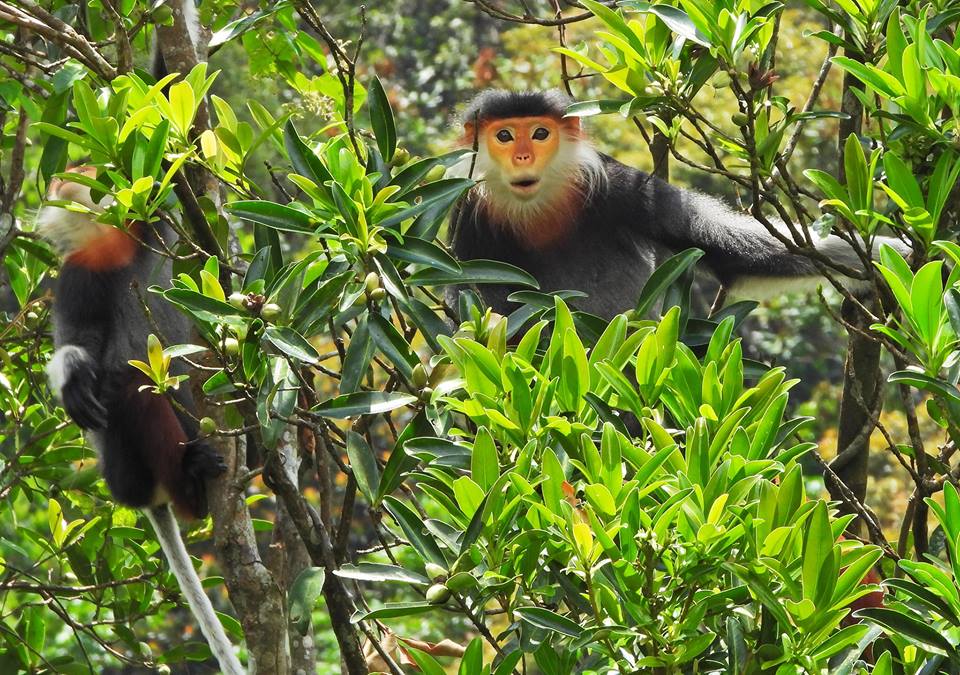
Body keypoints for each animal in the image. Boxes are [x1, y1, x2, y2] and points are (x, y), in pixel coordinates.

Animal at [38, 168, 246, 675]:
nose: (64, 185)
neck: (114, 246)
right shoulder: (78, 273)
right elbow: (78, 342)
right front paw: (72, 374)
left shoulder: (151, 233)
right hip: (126, 464)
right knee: (129, 385)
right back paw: (189, 479)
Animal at [446, 90, 912, 322]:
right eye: (505, 136)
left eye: (540, 133)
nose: (523, 156)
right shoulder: (468, 214)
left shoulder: (622, 188)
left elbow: (730, 253)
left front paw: (897, 257)